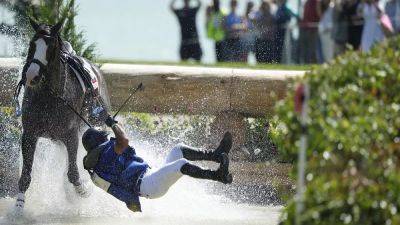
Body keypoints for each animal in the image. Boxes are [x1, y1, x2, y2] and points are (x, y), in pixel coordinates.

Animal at [13, 18, 110, 214]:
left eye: (50, 48)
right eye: (32, 45)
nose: (31, 75)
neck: (50, 96)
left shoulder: (71, 135)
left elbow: (73, 173)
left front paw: (84, 191)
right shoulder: (29, 135)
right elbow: (26, 175)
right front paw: (18, 208)